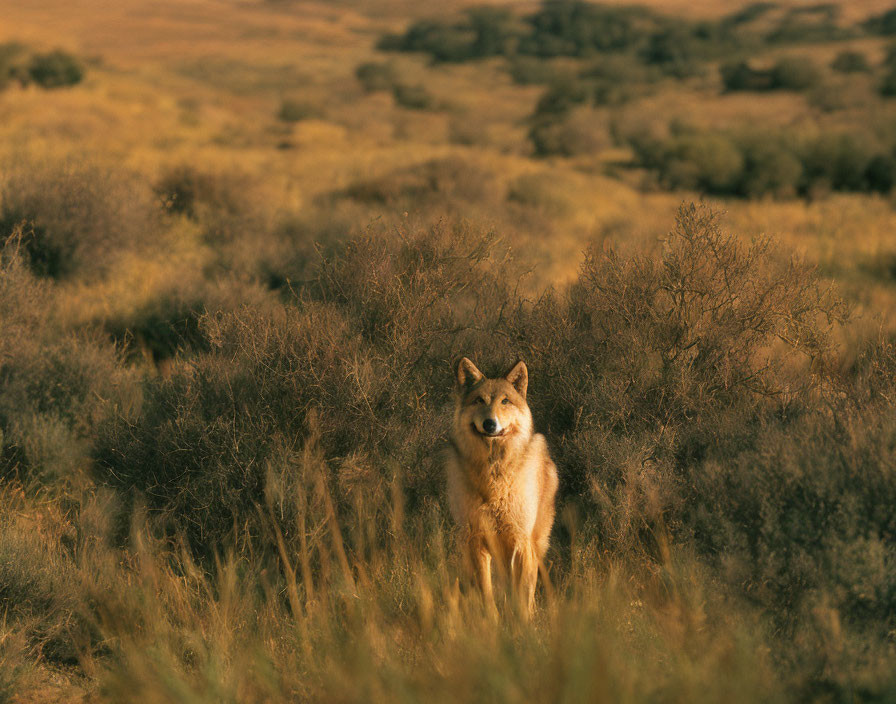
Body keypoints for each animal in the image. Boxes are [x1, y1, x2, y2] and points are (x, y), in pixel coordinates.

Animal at [444, 358, 556, 616]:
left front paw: (523, 624)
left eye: (505, 401)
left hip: (532, 547)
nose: (489, 423)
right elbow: (487, 596)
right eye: (479, 400)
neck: (494, 481)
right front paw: (494, 623)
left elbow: (522, 597)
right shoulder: (475, 541)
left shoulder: (520, 542)